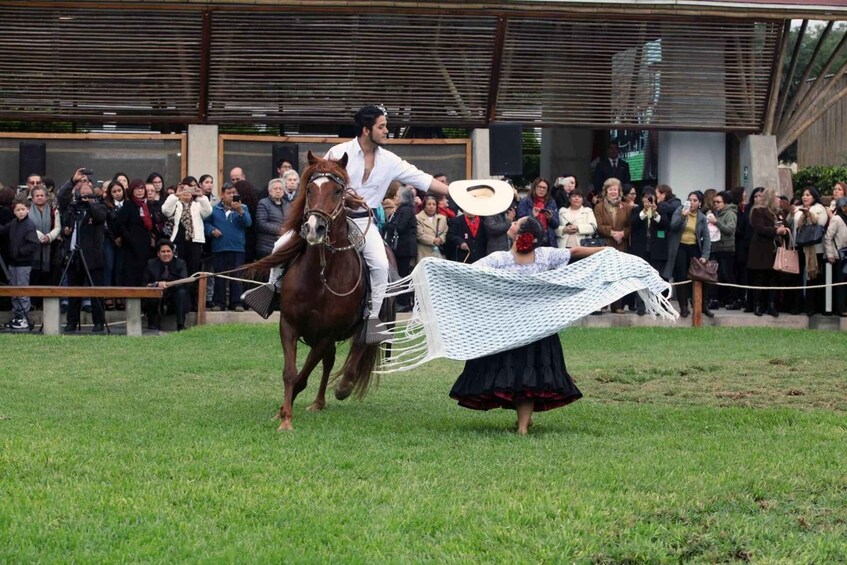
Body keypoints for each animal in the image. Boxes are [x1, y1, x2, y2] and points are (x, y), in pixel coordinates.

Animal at [247, 152, 390, 430]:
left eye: (338, 190)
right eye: (310, 189)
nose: (315, 228)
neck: (320, 275)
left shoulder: (326, 334)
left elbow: (303, 374)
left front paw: (286, 413)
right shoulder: (289, 324)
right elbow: (291, 373)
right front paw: (284, 416)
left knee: (358, 346)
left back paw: (343, 386)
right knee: (329, 361)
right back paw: (318, 402)